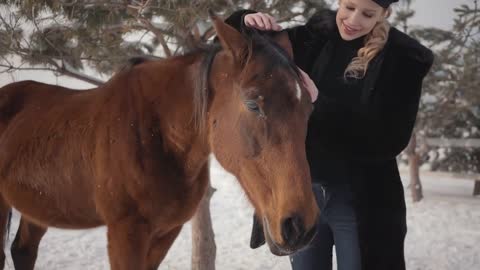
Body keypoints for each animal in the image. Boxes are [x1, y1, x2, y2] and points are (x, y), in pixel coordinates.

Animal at [0, 16, 318, 270]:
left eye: (308, 107)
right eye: (253, 105)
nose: (300, 226)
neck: (156, 135)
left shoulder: (166, 232)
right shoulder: (124, 234)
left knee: (23, 250)